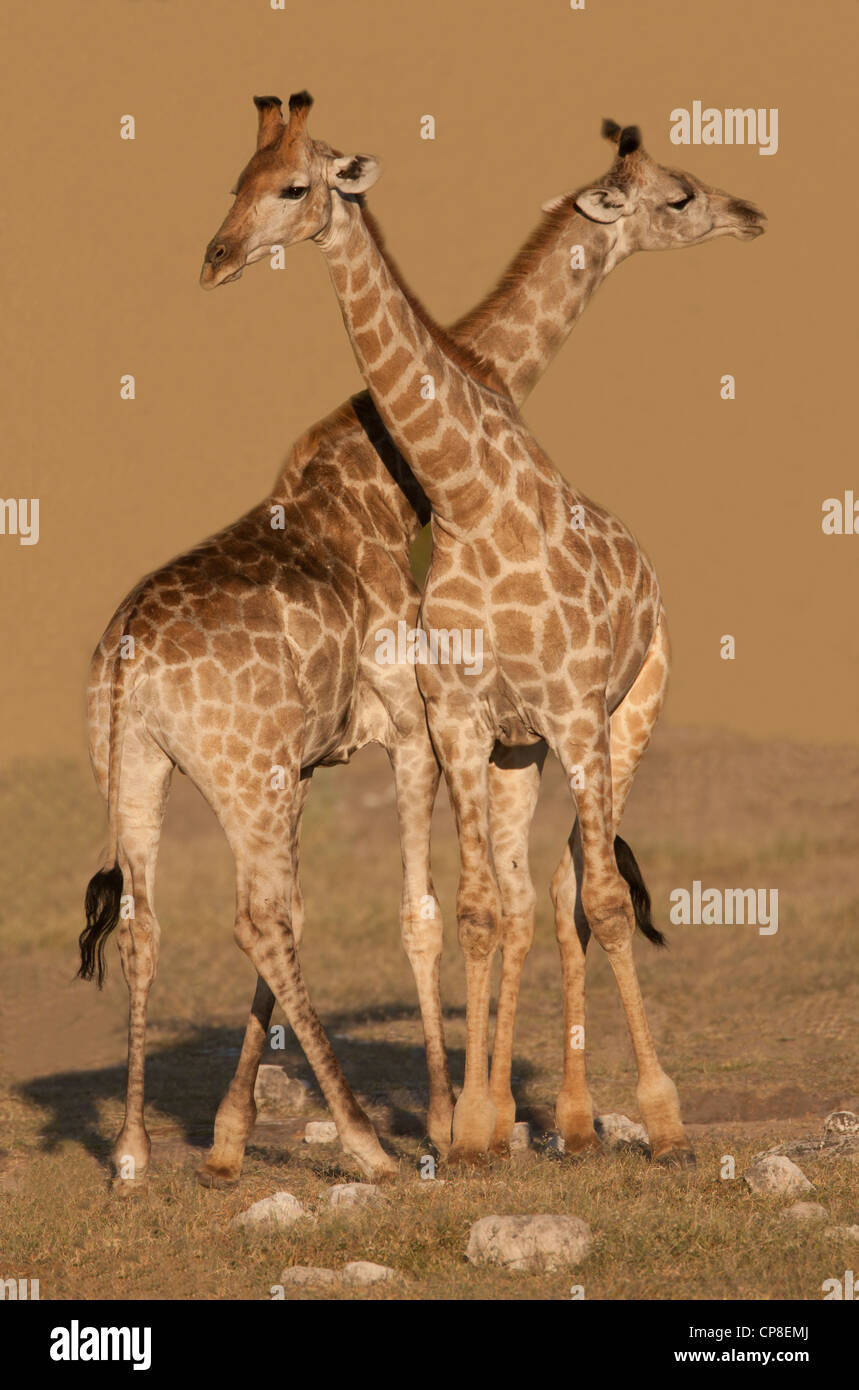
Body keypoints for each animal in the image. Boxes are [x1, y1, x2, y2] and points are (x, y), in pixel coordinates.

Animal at [80, 96, 764, 1189]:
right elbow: (431, 912)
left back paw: (138, 1153)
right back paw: (374, 1141)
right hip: (243, 774)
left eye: (280, 184)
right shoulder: (410, 727)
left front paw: (232, 1138)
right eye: (681, 193)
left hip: (137, 769)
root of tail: (124, 660)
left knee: (158, 926)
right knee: (271, 917)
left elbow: (448, 908)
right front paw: (448, 1120)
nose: (218, 256)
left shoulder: (366, 748)